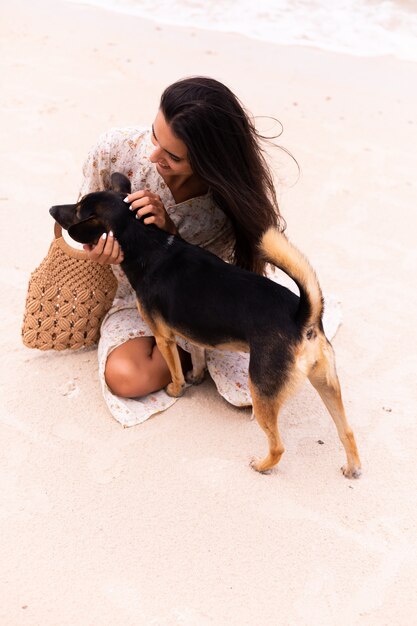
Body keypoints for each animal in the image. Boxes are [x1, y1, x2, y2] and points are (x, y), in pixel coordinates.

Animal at [49, 173, 360, 476]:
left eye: (77, 210)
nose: (51, 209)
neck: (147, 241)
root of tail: (303, 317)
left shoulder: (163, 337)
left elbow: (175, 371)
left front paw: (176, 390)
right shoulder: (192, 331)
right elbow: (197, 355)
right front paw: (196, 376)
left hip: (261, 390)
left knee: (278, 447)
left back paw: (262, 465)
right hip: (326, 383)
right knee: (346, 431)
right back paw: (352, 467)